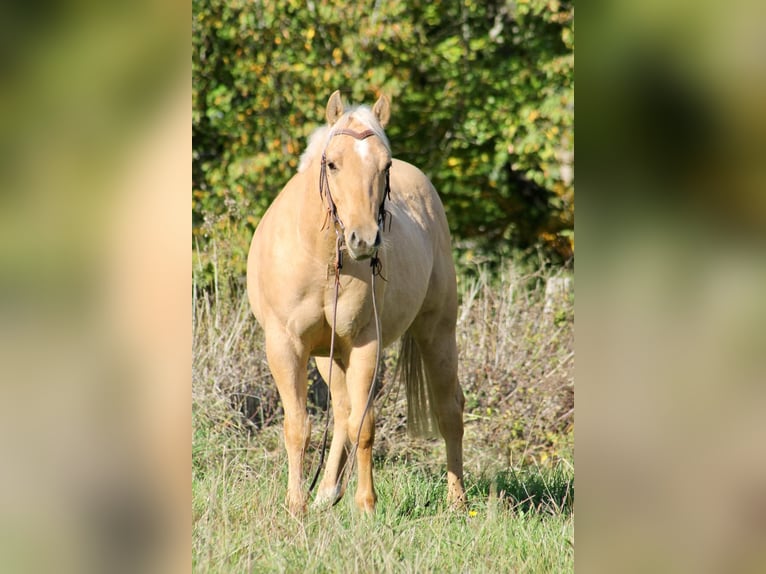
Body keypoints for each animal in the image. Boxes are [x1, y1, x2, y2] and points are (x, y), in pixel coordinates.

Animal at [247, 90, 466, 514]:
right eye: (332, 163)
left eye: (385, 165)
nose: (364, 239)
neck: (321, 258)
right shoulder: (285, 346)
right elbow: (299, 426)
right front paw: (296, 505)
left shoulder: (365, 343)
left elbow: (364, 425)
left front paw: (366, 504)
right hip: (329, 356)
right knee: (343, 411)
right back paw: (326, 493)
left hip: (438, 332)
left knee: (449, 410)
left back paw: (458, 501)